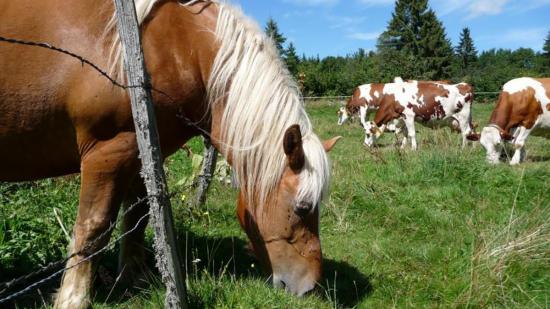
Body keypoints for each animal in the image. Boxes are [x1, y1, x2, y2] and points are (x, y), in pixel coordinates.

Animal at [0, 0, 342, 306]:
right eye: (302, 207)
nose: (310, 287)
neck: (175, 47)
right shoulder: (106, 154)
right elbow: (93, 228)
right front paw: (74, 299)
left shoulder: (140, 153)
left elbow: (137, 216)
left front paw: (134, 279)